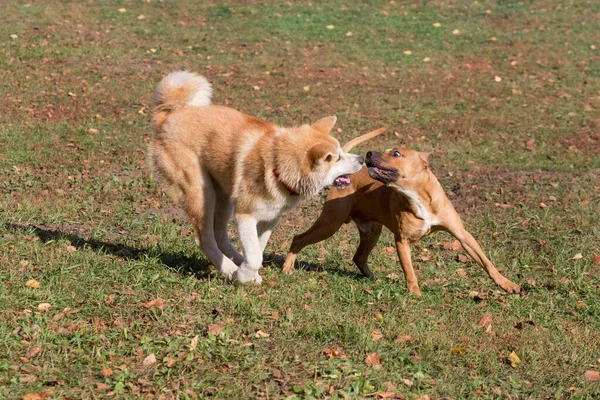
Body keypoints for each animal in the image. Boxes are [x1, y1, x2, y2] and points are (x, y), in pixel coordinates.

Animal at [282, 145, 520, 296]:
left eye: (396, 153)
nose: (368, 153)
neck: (418, 196)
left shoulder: (462, 236)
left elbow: (487, 263)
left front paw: (508, 285)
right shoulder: (402, 241)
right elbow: (410, 271)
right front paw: (415, 293)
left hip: (371, 232)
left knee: (359, 257)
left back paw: (372, 277)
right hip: (330, 223)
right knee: (298, 239)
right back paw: (287, 267)